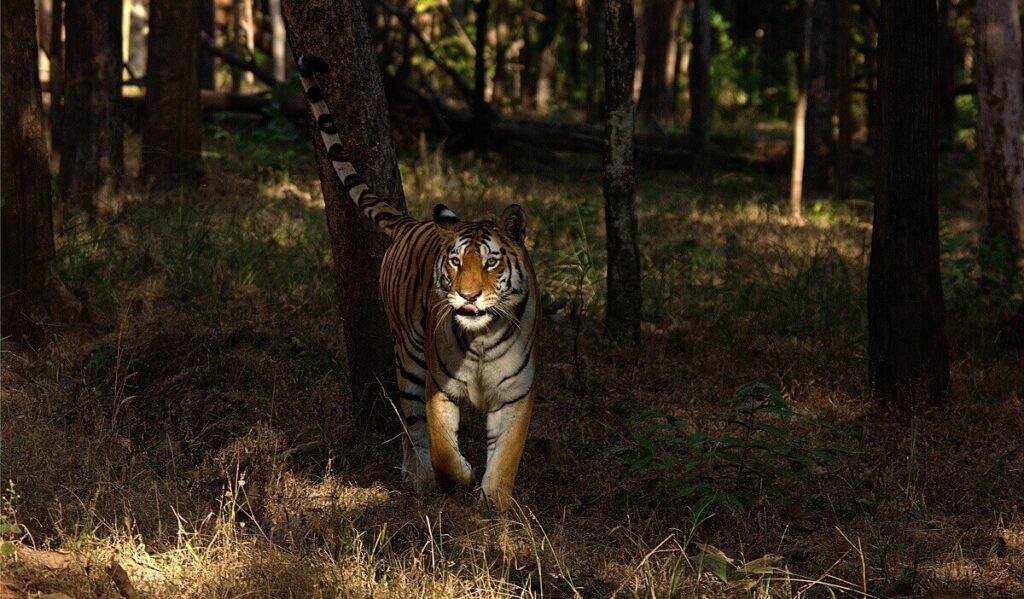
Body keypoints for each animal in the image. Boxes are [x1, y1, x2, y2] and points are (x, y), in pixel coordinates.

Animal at [295, 54, 540, 509]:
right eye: (457, 261)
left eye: (491, 262)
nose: (468, 294)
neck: (481, 340)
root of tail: (410, 223)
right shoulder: (438, 386)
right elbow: (442, 444)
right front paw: (457, 477)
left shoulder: (515, 393)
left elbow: (507, 455)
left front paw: (495, 503)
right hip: (407, 357)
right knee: (411, 425)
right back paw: (418, 476)